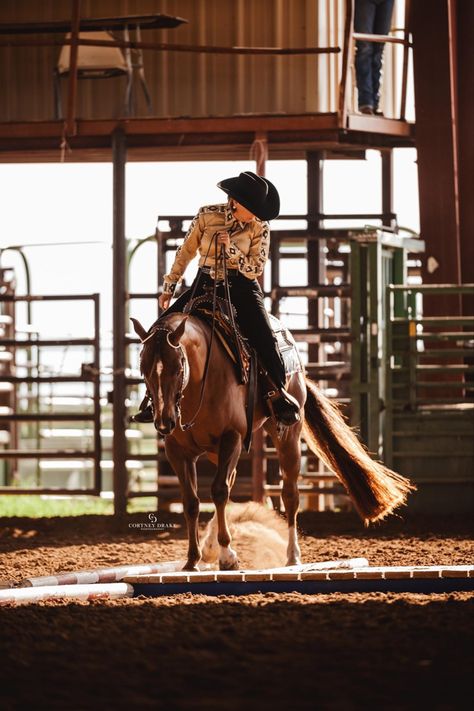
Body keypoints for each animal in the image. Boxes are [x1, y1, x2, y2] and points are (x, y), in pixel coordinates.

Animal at [131, 312, 414, 572]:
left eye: (178, 367)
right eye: (143, 369)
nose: (164, 422)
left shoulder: (231, 438)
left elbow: (218, 491)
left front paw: (227, 557)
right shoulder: (177, 451)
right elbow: (191, 501)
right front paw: (193, 560)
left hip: (287, 436)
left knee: (289, 494)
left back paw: (292, 556)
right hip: (216, 451)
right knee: (231, 483)